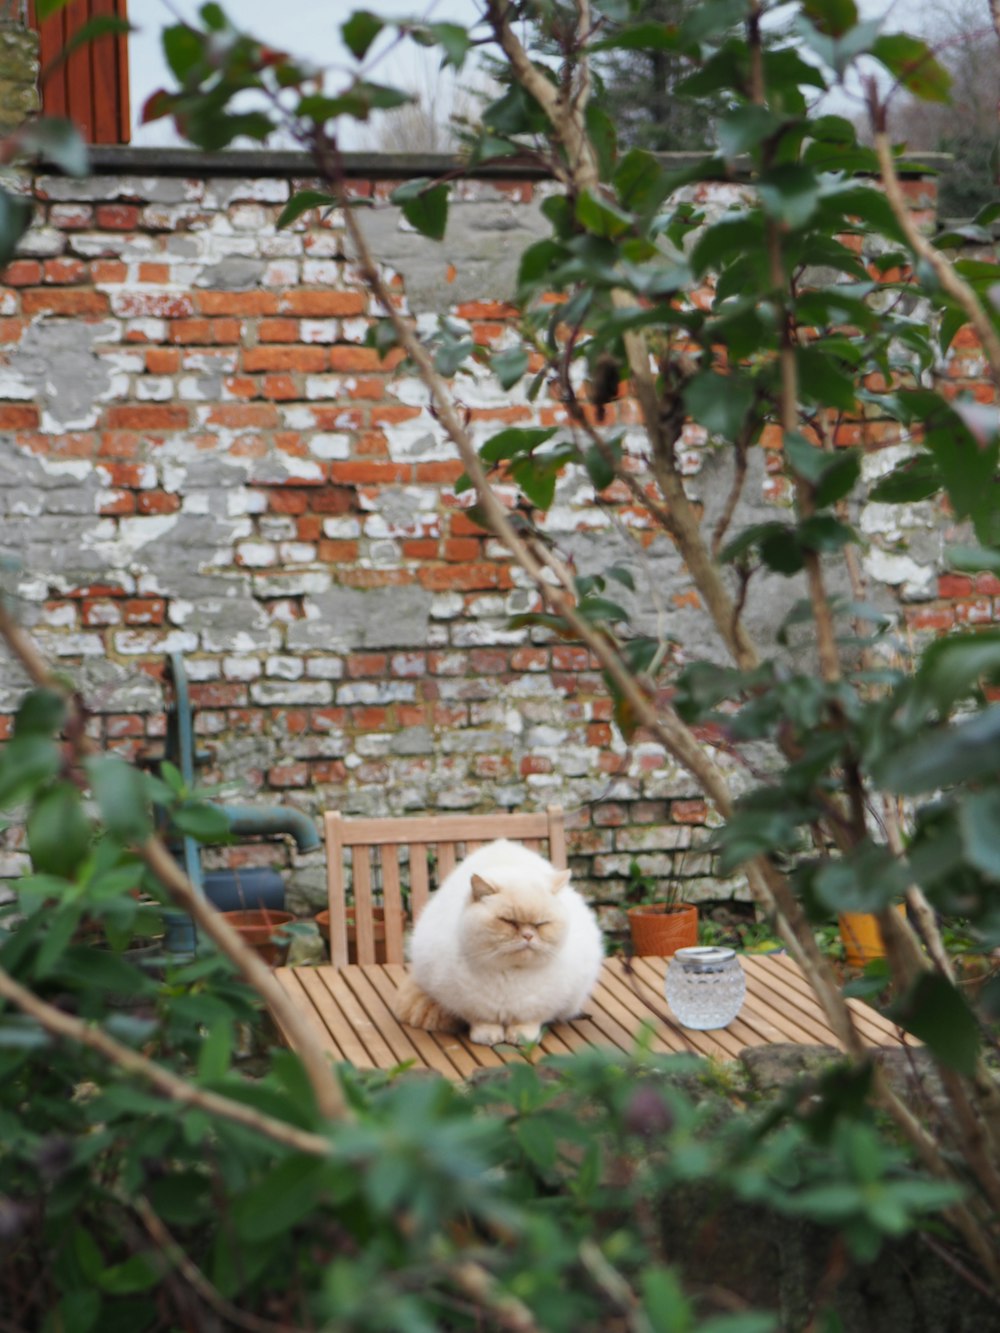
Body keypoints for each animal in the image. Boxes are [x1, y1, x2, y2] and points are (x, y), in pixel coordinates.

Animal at [394, 837, 602, 1045]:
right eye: (508, 921)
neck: (510, 975)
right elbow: (483, 1022)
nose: (528, 936)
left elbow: (528, 1022)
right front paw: (488, 1036)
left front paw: (521, 1037)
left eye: (541, 924)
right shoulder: (468, 1004)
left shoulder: (540, 1007)